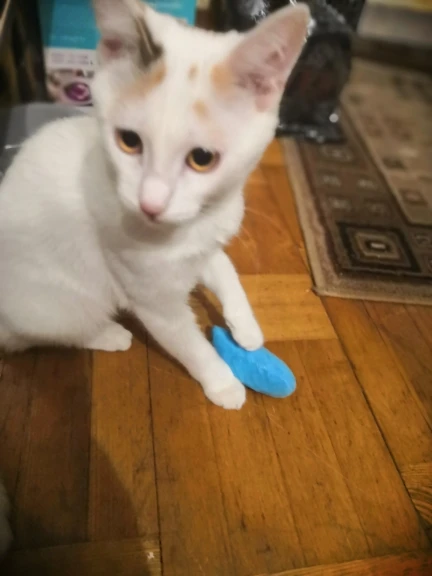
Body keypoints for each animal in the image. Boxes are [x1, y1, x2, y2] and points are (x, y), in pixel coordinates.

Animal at [0, 0, 309, 409]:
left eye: (202, 158)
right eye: (129, 141)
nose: (150, 204)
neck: (194, 224)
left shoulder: (206, 241)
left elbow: (225, 270)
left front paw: (246, 327)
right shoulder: (152, 300)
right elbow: (189, 343)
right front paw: (222, 381)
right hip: (58, 303)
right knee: (34, 336)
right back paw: (107, 334)